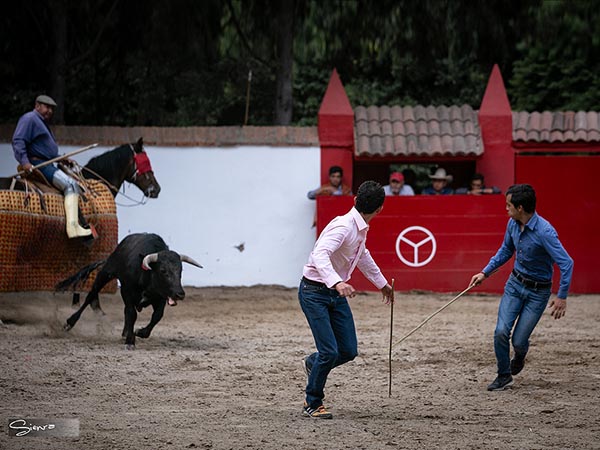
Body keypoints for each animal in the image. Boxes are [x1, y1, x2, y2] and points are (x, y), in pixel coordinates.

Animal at [56, 234, 202, 350]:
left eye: (180, 271)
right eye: (163, 271)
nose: (180, 294)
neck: (146, 275)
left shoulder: (160, 297)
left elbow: (157, 316)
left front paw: (139, 332)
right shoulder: (127, 292)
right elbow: (132, 314)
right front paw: (130, 341)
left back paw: (126, 332)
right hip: (105, 273)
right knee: (91, 296)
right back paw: (69, 323)